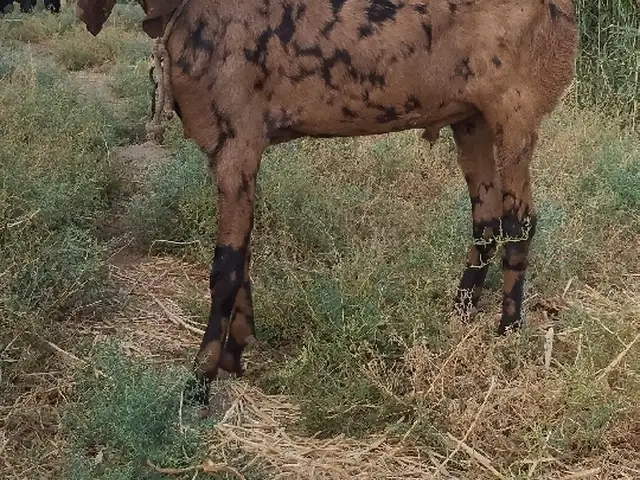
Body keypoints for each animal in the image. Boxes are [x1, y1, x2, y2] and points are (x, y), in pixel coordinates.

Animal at [76, 0, 579, 405]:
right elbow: (244, 255)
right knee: (485, 218)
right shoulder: (235, 154)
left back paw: (508, 331)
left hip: (514, 111)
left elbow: (226, 266)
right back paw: (459, 311)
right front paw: (237, 353)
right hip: (469, 117)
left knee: (520, 222)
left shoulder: (236, 143)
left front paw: (200, 380)